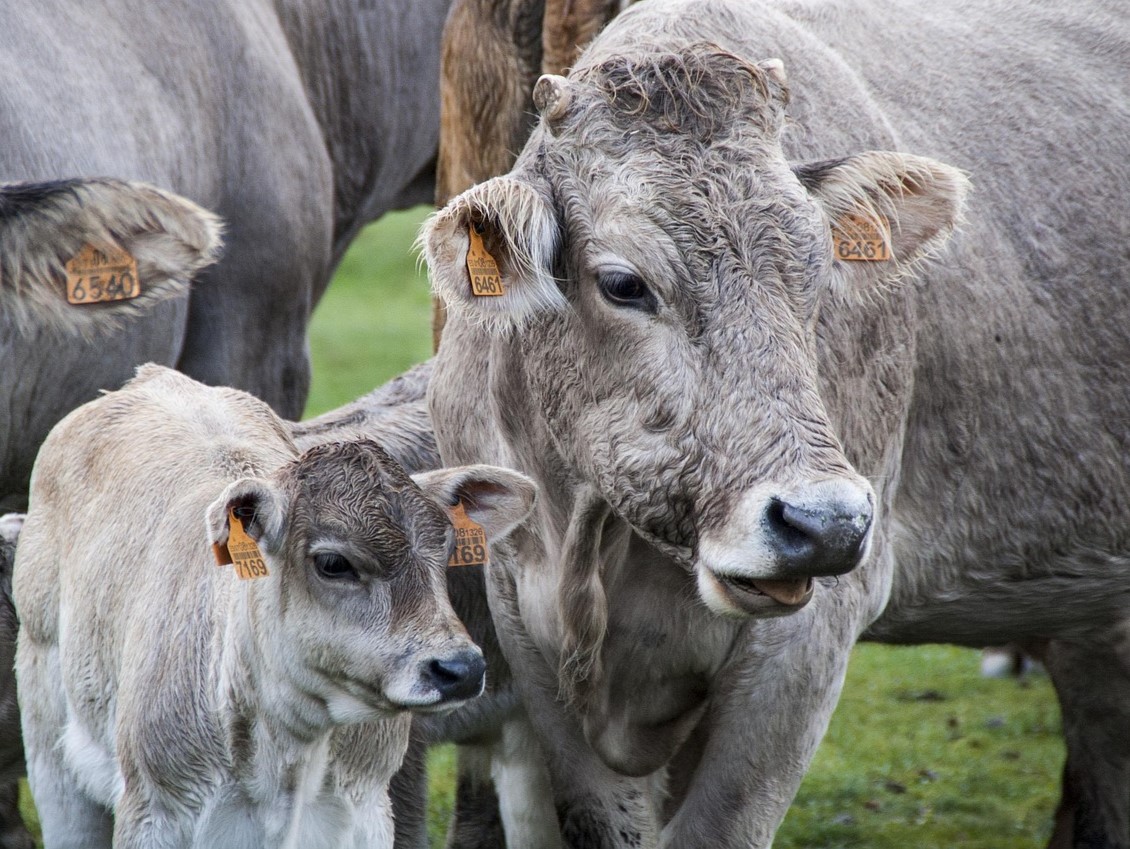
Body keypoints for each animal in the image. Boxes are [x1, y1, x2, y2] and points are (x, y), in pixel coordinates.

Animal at [12, 366, 533, 849]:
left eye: (445, 549)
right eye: (333, 563)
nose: (460, 669)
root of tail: (155, 377)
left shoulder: (367, 811)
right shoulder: (153, 813)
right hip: (50, 749)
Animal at [424, 1, 1130, 849]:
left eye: (818, 271)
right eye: (624, 283)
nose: (824, 522)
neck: (595, 540)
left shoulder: (809, 638)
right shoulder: (522, 620)